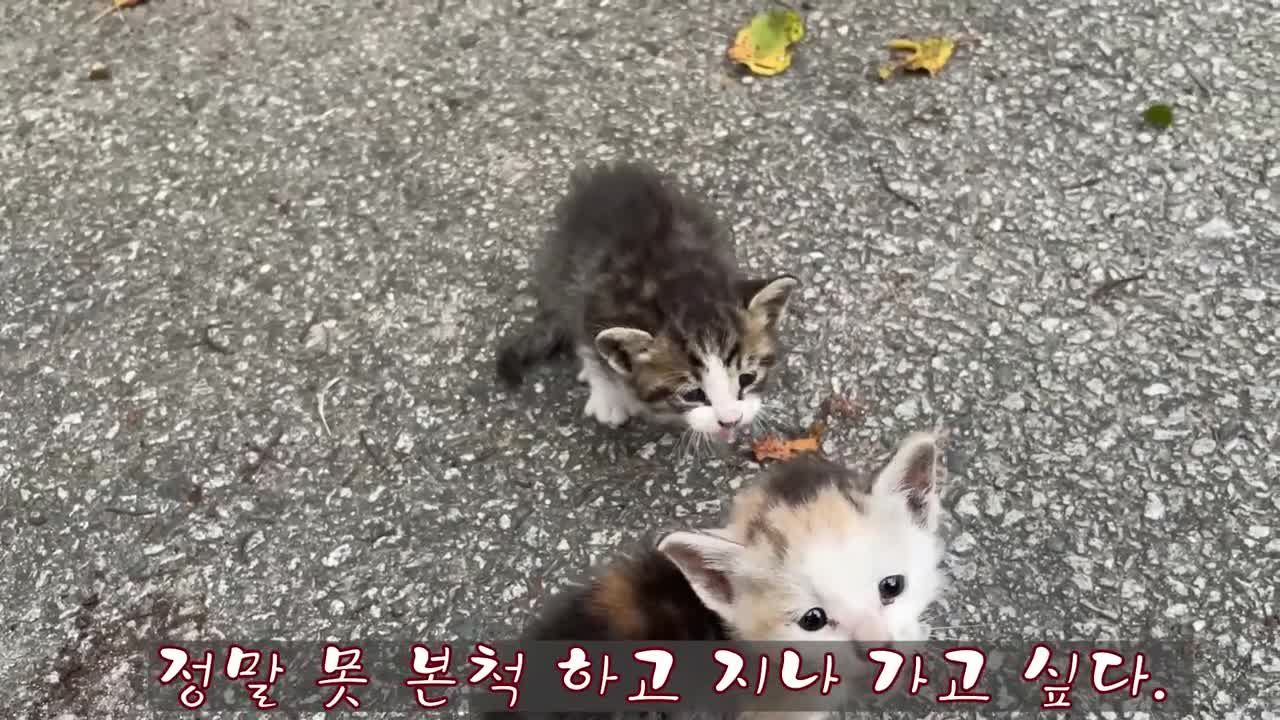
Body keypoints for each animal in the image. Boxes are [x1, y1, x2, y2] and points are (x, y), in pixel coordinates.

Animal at [491, 161, 798, 443]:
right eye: (693, 394)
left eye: (747, 378)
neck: (678, 281)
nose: (730, 421)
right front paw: (608, 396)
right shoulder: (591, 302)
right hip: (563, 269)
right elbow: (589, 346)